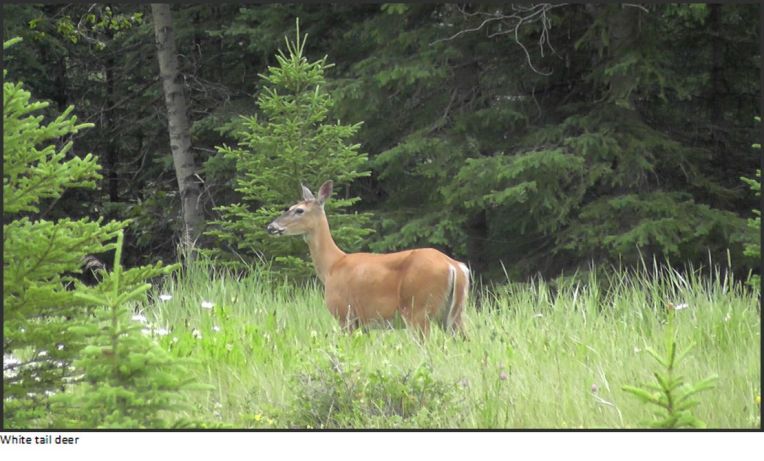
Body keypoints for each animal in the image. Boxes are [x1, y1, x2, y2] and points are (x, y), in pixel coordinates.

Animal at [266, 180, 470, 337]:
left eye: (299, 210)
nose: (271, 227)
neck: (332, 266)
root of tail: (454, 266)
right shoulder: (362, 324)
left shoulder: (345, 314)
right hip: (453, 313)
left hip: (418, 308)